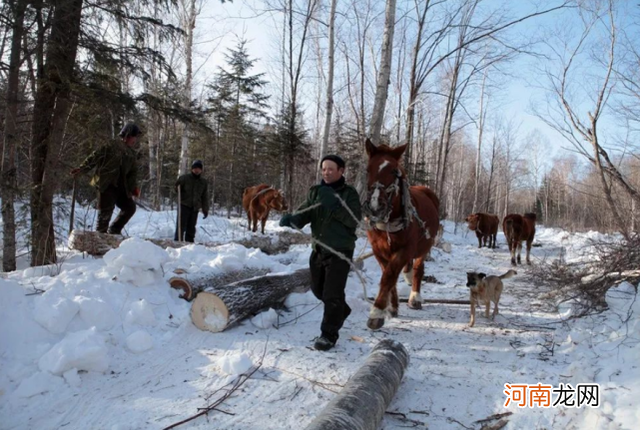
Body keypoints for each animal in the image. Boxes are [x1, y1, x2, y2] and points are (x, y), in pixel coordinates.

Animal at [362, 140, 442, 330]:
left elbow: (389, 276)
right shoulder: (378, 249)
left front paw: (377, 312)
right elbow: (388, 274)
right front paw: (392, 306)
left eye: (393, 171)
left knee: (419, 269)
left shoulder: (406, 249)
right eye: (368, 169)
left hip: (424, 246)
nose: (375, 207)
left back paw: (415, 297)